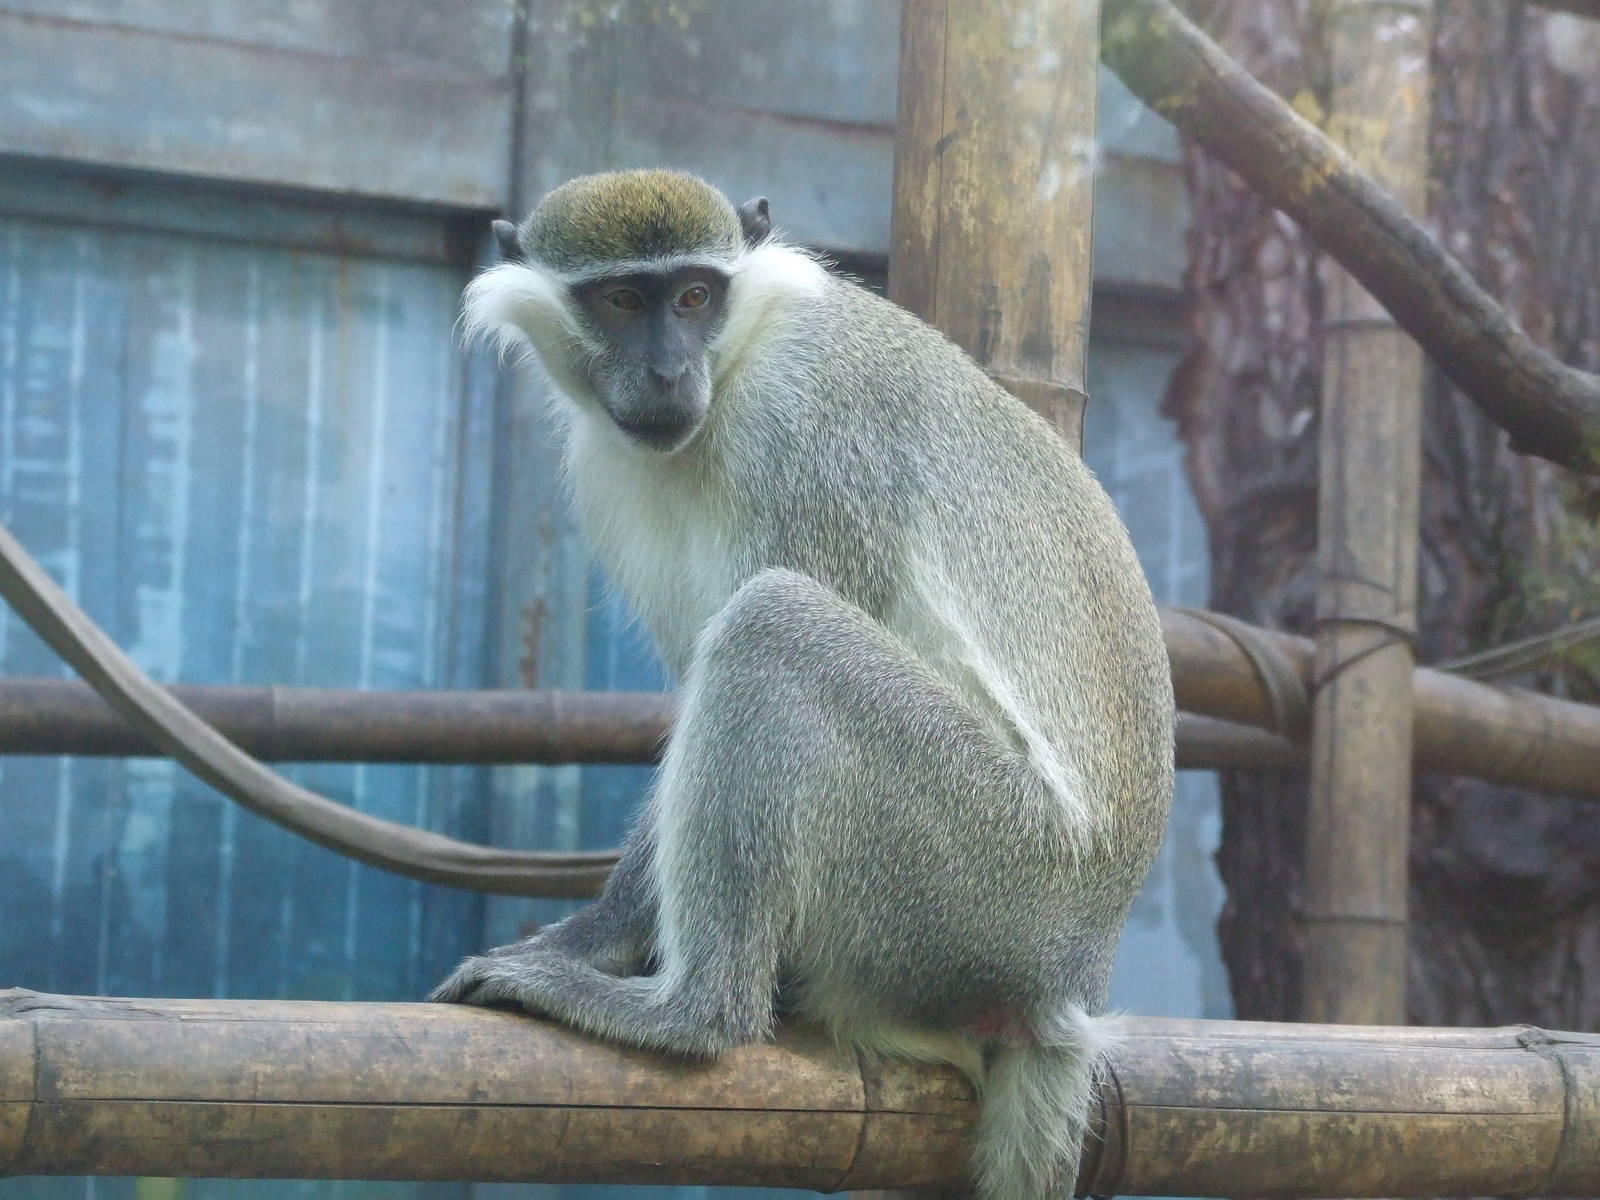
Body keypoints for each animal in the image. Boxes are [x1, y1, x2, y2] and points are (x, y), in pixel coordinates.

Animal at [431, 169, 1175, 1200]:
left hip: (989, 878)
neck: (739, 363)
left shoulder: (811, 433)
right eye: (621, 301)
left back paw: (693, 1016)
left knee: (771, 627)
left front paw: (597, 950)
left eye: (692, 297)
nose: (667, 373)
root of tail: (1074, 972)